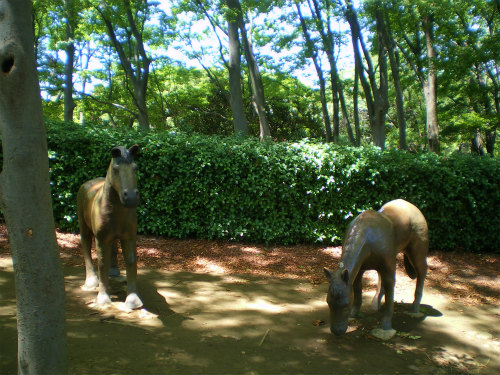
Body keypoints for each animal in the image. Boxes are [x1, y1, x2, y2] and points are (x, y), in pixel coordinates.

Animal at [77, 145, 143, 310]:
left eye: (135, 167)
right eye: (115, 169)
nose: (131, 197)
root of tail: (88, 183)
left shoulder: (129, 237)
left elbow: (131, 261)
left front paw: (133, 301)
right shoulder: (101, 239)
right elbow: (102, 263)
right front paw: (103, 299)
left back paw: (114, 272)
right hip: (84, 227)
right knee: (86, 246)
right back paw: (91, 281)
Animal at [324, 200, 430, 338]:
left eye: (346, 305)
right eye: (328, 303)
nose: (337, 331)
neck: (368, 236)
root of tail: (412, 206)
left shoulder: (389, 266)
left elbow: (390, 291)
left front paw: (386, 324)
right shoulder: (359, 269)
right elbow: (358, 289)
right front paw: (354, 313)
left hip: (416, 252)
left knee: (422, 272)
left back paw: (415, 308)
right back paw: (376, 304)